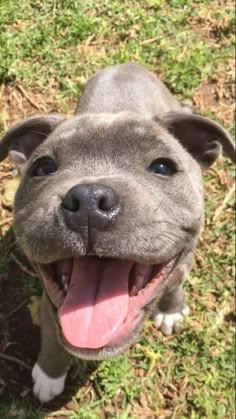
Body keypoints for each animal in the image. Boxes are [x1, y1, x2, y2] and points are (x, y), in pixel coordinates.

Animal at [0, 62, 234, 404]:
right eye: (43, 168)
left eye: (163, 167)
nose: (89, 200)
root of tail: (129, 65)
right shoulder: (49, 302)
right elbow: (53, 336)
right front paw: (49, 373)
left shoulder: (182, 266)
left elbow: (175, 286)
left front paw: (171, 310)